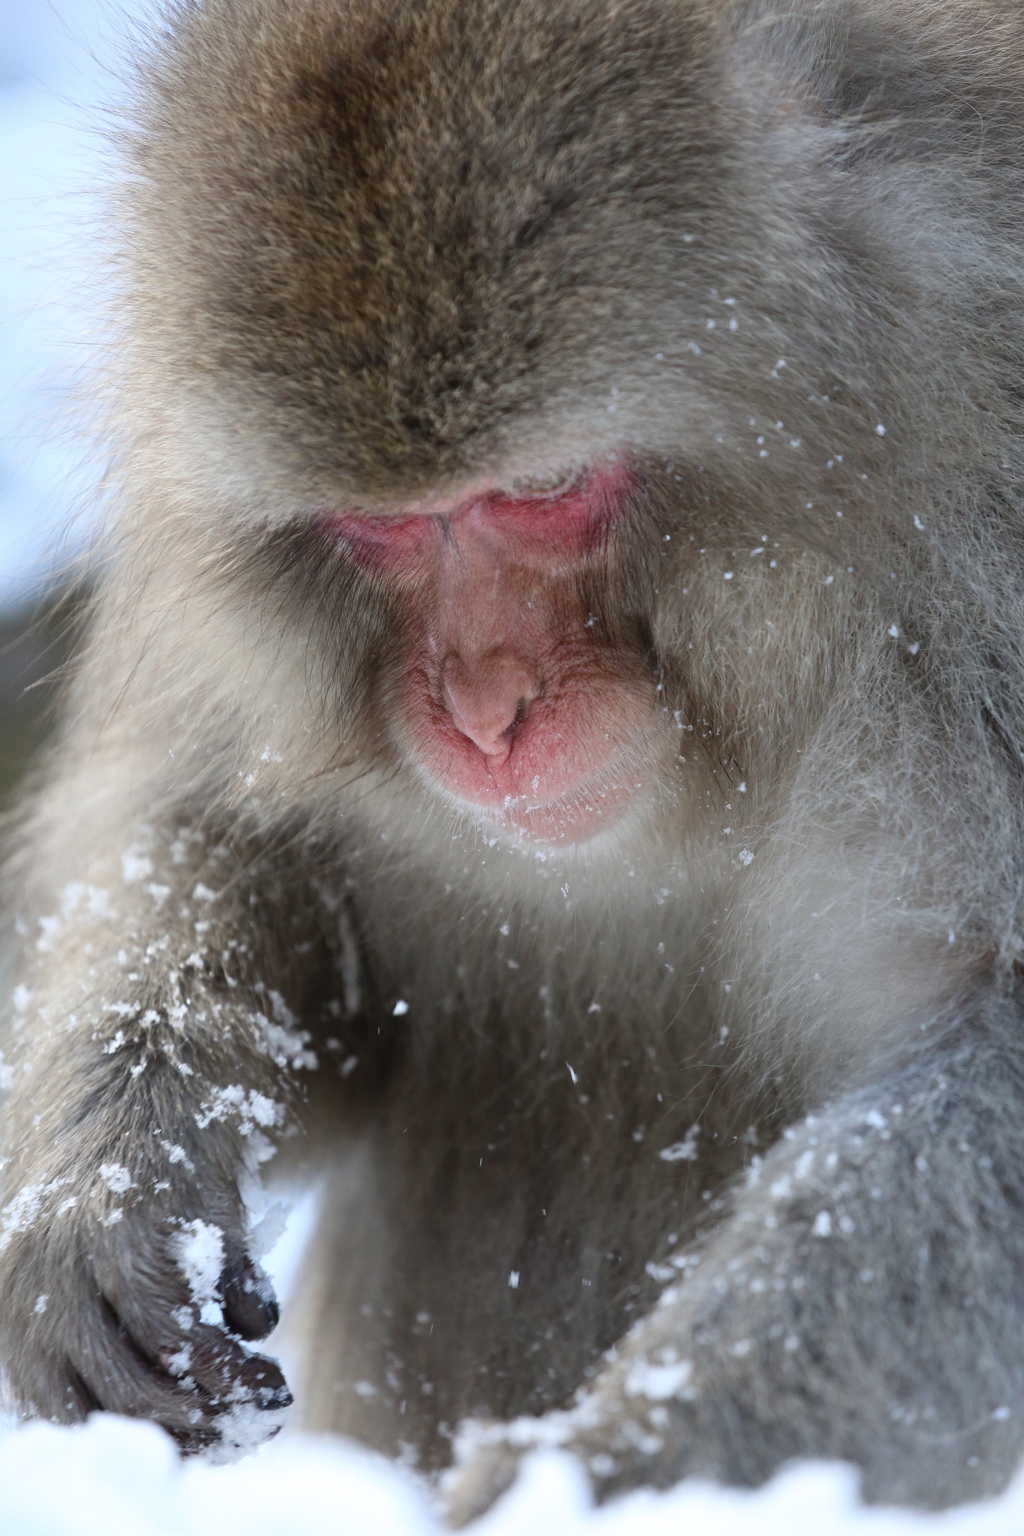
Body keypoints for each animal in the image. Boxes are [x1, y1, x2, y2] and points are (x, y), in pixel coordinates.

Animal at [5, 0, 1024, 1511]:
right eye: (382, 528)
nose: (484, 712)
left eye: (539, 491)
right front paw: (109, 1193)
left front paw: (616, 1467)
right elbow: (231, 840)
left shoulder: (988, 541)